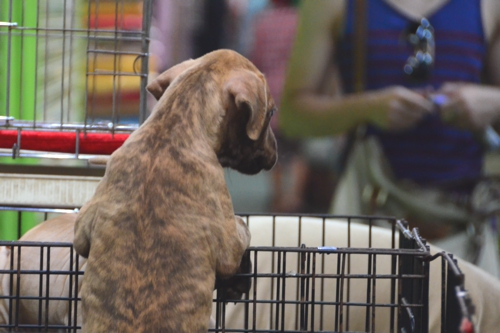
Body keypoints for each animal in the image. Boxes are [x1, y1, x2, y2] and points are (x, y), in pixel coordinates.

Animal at [73, 50, 278, 332]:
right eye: (272, 112)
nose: (276, 153)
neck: (170, 125)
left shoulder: (82, 229)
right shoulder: (230, 244)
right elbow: (243, 230)